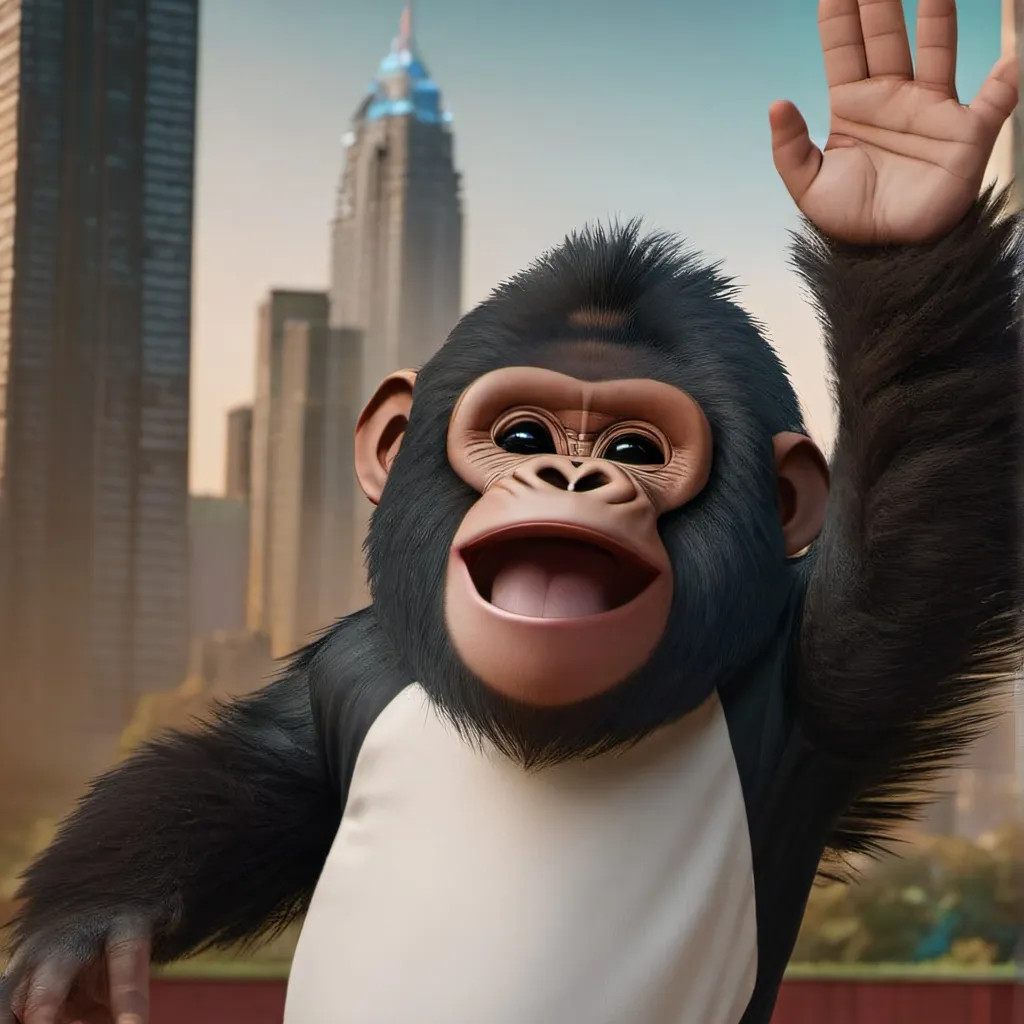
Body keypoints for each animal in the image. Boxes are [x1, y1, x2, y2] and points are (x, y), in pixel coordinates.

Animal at [1, 1, 1020, 1022]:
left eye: (634, 452)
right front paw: (87, 932)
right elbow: (256, 770)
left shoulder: (813, 672)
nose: (572, 479)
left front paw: (896, 180)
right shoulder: (352, 668)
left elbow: (909, 527)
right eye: (525, 436)